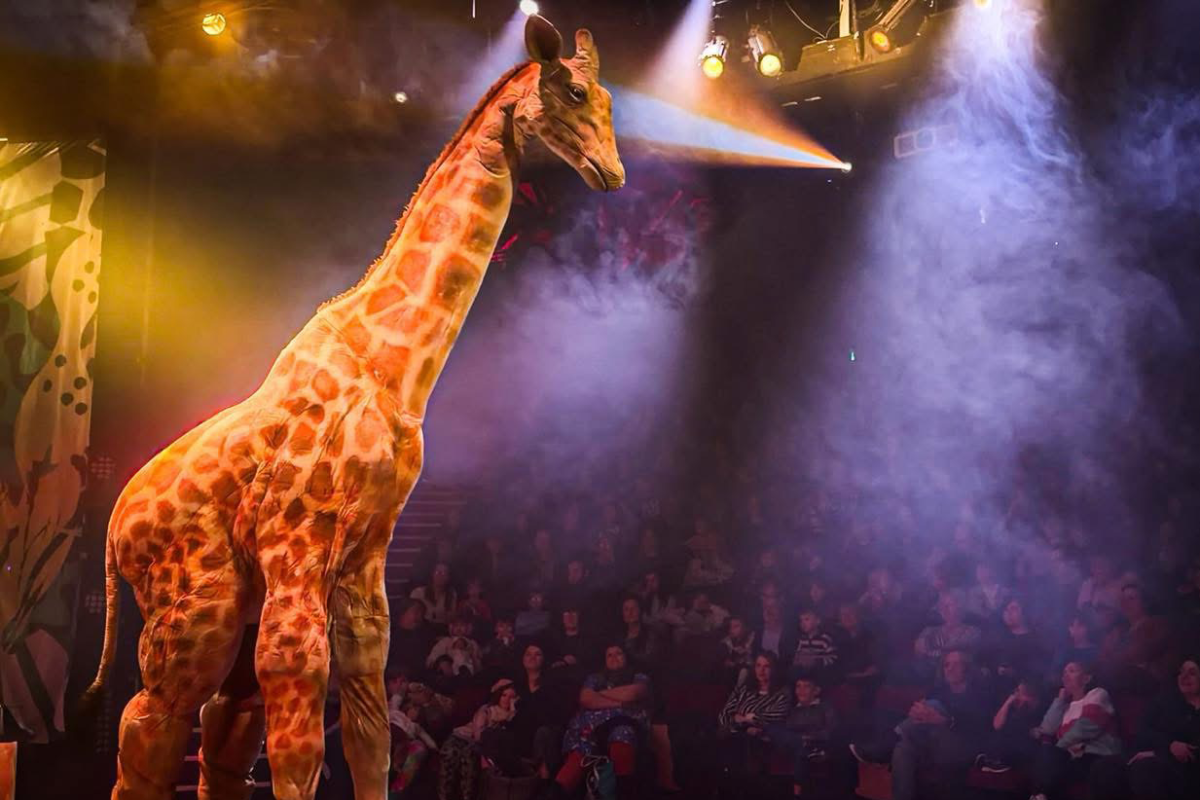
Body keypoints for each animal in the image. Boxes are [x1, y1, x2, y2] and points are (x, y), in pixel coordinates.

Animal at [86, 15, 623, 800]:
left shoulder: (368, 555)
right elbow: (302, 752)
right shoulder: (300, 550)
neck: (392, 370)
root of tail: (111, 533)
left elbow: (370, 733)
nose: (611, 172)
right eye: (576, 92)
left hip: (233, 611)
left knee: (219, 735)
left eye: (611, 101)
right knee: (147, 730)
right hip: (197, 610)